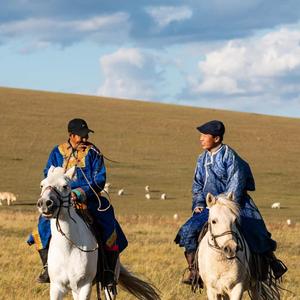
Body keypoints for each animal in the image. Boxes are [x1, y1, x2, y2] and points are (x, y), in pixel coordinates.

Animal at [36, 166, 161, 300]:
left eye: (65, 186)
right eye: (42, 185)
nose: (45, 203)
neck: (68, 249)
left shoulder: (84, 286)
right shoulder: (57, 287)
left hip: (109, 285)